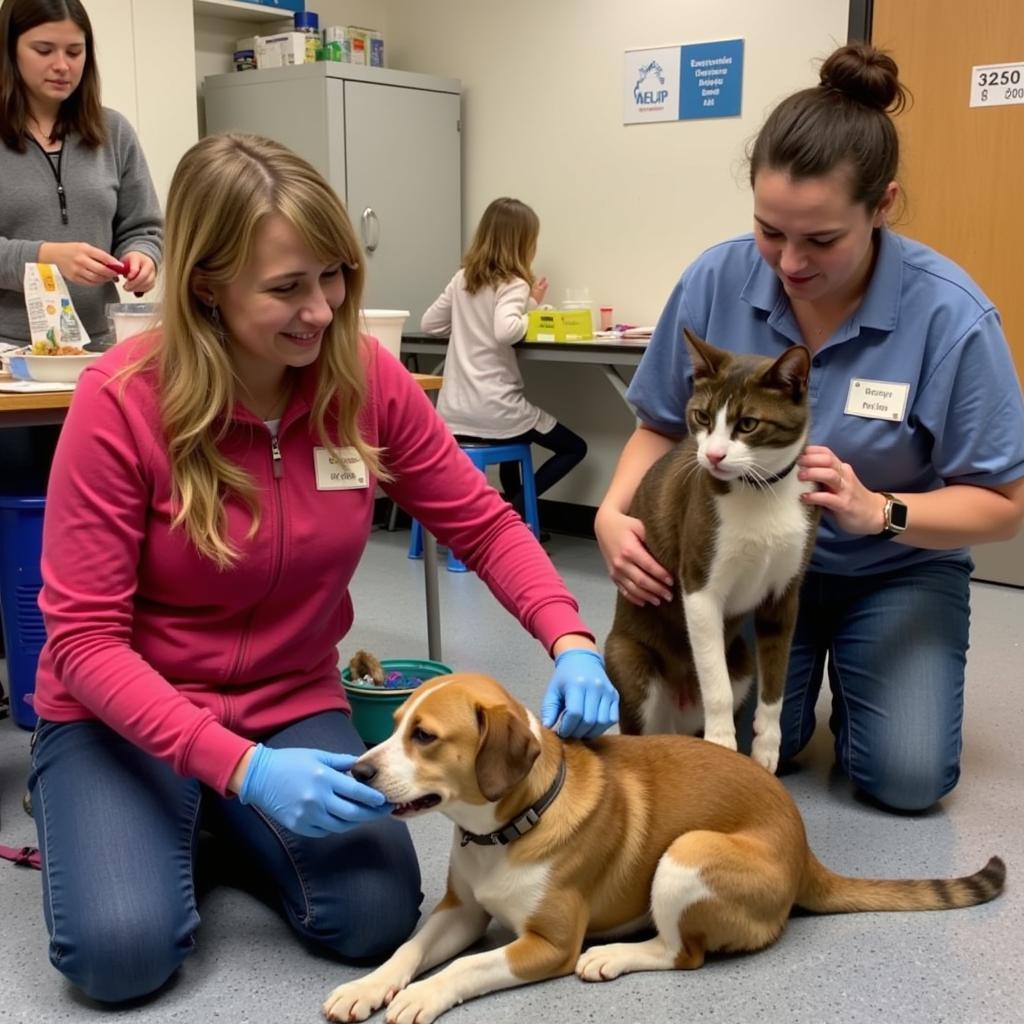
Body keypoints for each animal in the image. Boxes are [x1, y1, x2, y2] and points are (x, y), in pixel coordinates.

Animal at [323, 675, 1003, 1019]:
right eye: (395, 725)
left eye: (425, 736)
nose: (357, 771)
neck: (509, 827)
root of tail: (805, 855)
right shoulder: (460, 911)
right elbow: (410, 949)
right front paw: (372, 987)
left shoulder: (549, 945)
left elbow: (464, 966)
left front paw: (422, 995)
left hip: (687, 853)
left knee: (683, 955)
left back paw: (613, 957)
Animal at [606, 331, 815, 770]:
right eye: (702, 417)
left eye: (748, 424)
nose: (713, 456)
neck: (760, 490)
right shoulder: (700, 585)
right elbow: (715, 684)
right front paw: (723, 743)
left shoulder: (785, 594)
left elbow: (775, 681)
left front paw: (767, 746)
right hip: (630, 666)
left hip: (741, 663)